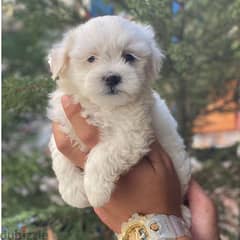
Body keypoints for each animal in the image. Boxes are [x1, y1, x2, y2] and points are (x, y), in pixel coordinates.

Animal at [47, 15, 191, 212]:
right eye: (91, 59)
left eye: (128, 57)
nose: (112, 77)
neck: (102, 106)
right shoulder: (63, 123)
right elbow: (59, 157)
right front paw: (74, 193)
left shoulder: (132, 134)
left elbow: (102, 155)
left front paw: (95, 192)